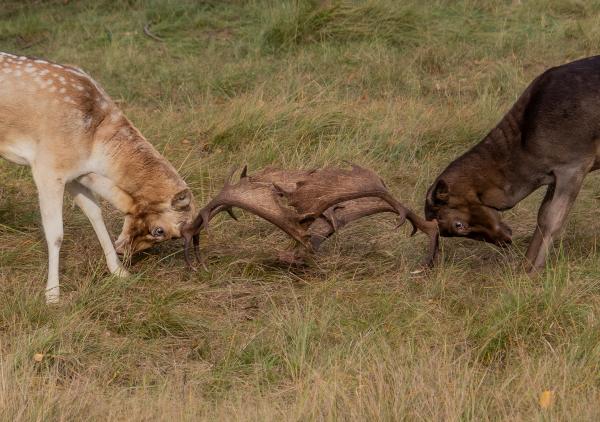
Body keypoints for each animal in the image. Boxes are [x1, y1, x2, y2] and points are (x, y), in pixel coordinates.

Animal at [0, 52, 193, 304]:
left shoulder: (76, 174)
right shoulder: (48, 168)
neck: (94, 142)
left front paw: (120, 272)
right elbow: (55, 233)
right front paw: (52, 295)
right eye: (160, 231)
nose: (125, 251)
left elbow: (95, 213)